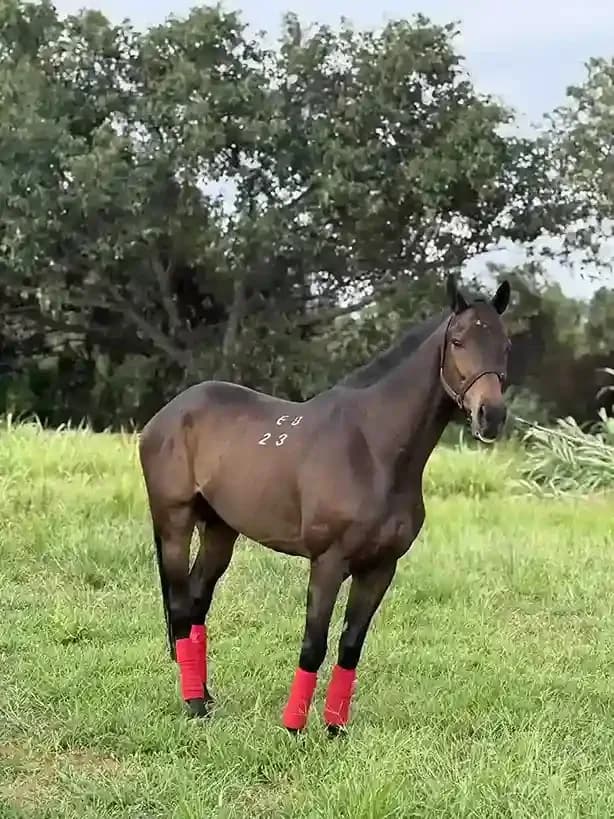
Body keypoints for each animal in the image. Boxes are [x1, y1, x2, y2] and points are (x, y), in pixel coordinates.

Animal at [138, 274, 512, 734]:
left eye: (505, 344)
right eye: (458, 340)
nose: (491, 415)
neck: (372, 448)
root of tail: (167, 415)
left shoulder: (380, 568)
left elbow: (350, 645)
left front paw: (335, 728)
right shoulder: (329, 562)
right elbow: (314, 644)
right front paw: (293, 728)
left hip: (221, 530)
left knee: (195, 604)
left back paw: (205, 698)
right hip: (175, 523)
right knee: (179, 605)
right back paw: (192, 704)